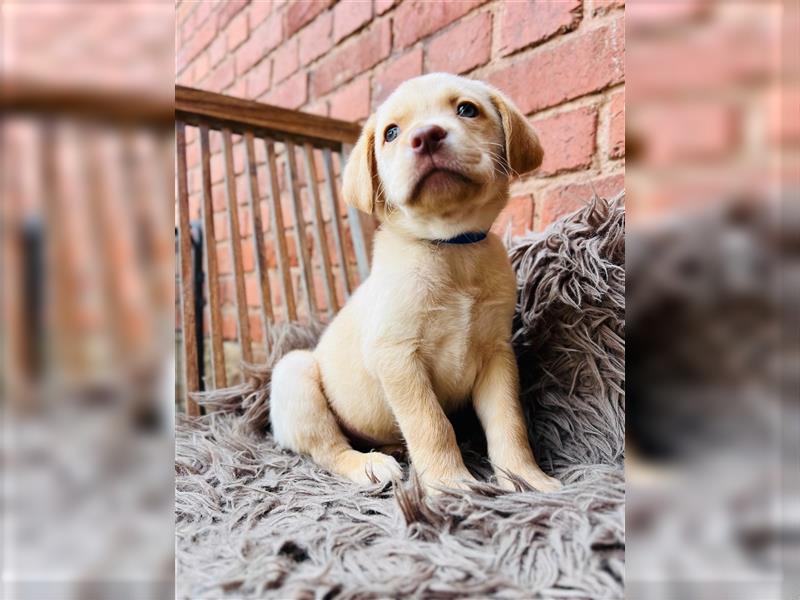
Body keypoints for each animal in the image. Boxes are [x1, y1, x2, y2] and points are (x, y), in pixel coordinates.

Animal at [272, 74, 560, 492]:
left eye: (467, 109)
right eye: (391, 132)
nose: (425, 136)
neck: (450, 248)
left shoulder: (497, 354)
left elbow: (509, 423)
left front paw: (524, 478)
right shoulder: (397, 356)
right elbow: (432, 425)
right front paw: (450, 483)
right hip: (295, 373)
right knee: (329, 449)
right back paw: (370, 466)